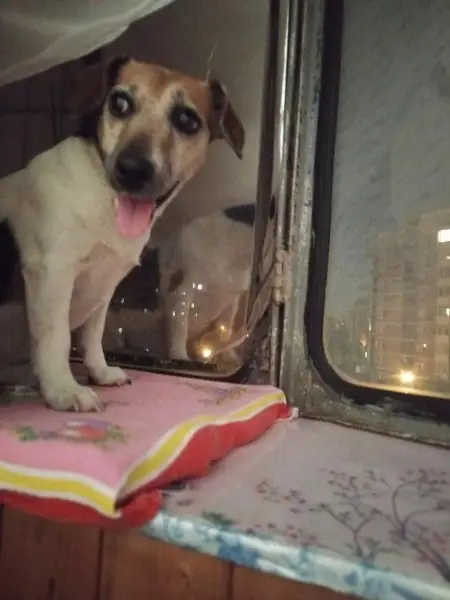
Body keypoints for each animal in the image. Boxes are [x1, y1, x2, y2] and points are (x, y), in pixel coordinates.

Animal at [0, 56, 244, 411]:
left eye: (186, 119)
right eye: (119, 103)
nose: (132, 170)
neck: (105, 199)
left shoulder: (105, 286)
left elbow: (92, 335)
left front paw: (99, 372)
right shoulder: (51, 273)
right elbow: (56, 339)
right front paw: (63, 389)